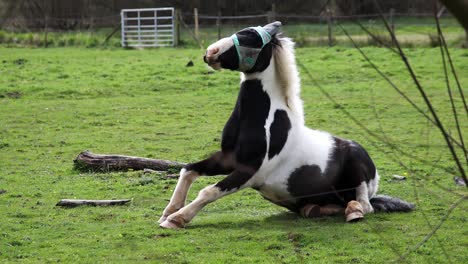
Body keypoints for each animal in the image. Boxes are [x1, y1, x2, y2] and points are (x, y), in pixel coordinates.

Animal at [158, 21, 414, 229]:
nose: (210, 53)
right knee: (324, 207)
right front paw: (167, 212)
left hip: (356, 167)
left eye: (250, 37)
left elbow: (208, 191)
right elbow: (188, 169)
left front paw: (176, 219)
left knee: (363, 204)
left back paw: (355, 212)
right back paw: (315, 209)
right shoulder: (228, 158)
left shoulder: (251, 171)